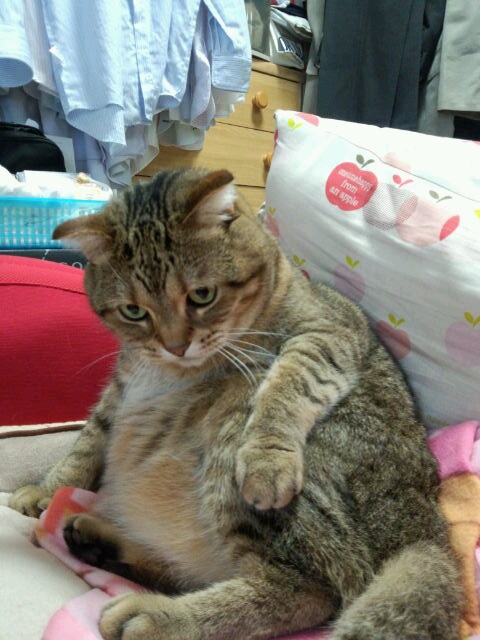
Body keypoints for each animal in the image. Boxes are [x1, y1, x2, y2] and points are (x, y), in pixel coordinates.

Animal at [10, 168, 462, 640]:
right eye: (134, 311)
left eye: (202, 295)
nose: (175, 346)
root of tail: (423, 526)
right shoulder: (122, 383)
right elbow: (89, 439)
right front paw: (48, 489)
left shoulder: (325, 334)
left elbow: (292, 381)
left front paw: (267, 456)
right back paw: (102, 543)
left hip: (240, 427)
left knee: (310, 590)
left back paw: (159, 615)